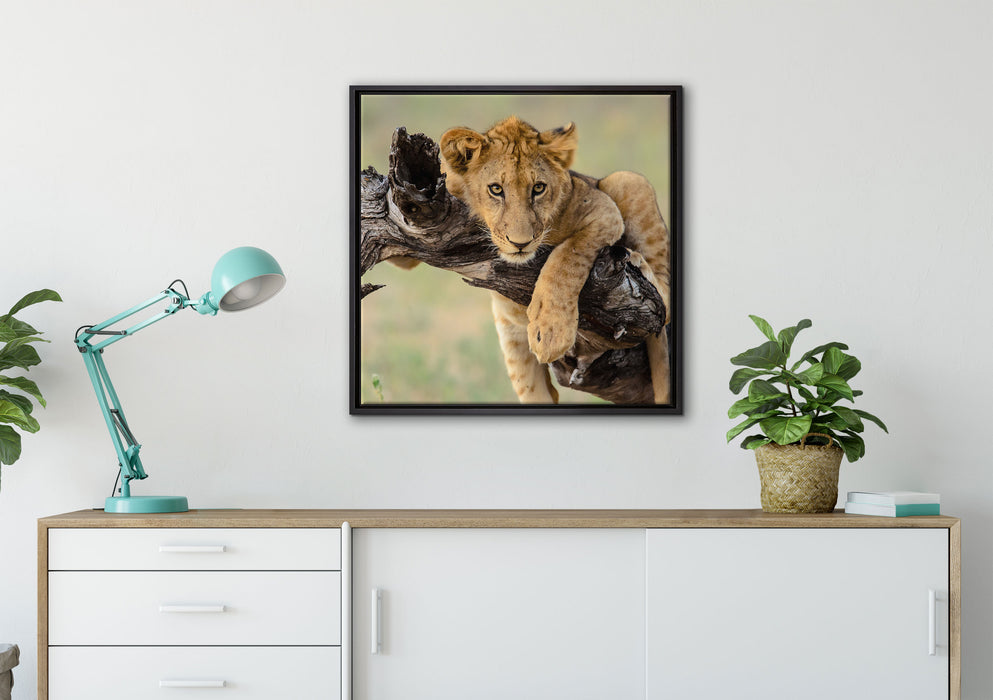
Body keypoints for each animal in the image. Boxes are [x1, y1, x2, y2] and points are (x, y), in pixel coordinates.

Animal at [439, 115, 672, 404]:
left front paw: (551, 332)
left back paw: (637, 260)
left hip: (628, 180)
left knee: (664, 301)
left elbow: (566, 259)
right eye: (496, 189)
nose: (520, 243)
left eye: (538, 188)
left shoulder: (604, 213)